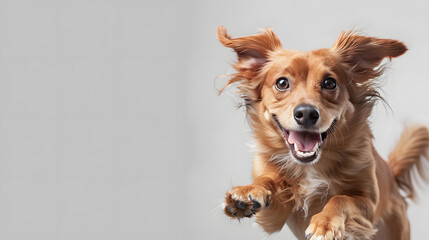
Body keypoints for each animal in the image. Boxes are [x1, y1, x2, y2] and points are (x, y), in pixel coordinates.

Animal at [217, 25, 428, 239]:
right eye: (282, 83)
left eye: (329, 83)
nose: (306, 113)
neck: (310, 167)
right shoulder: (274, 217)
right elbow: (268, 181)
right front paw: (249, 190)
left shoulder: (369, 205)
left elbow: (341, 198)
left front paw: (326, 223)